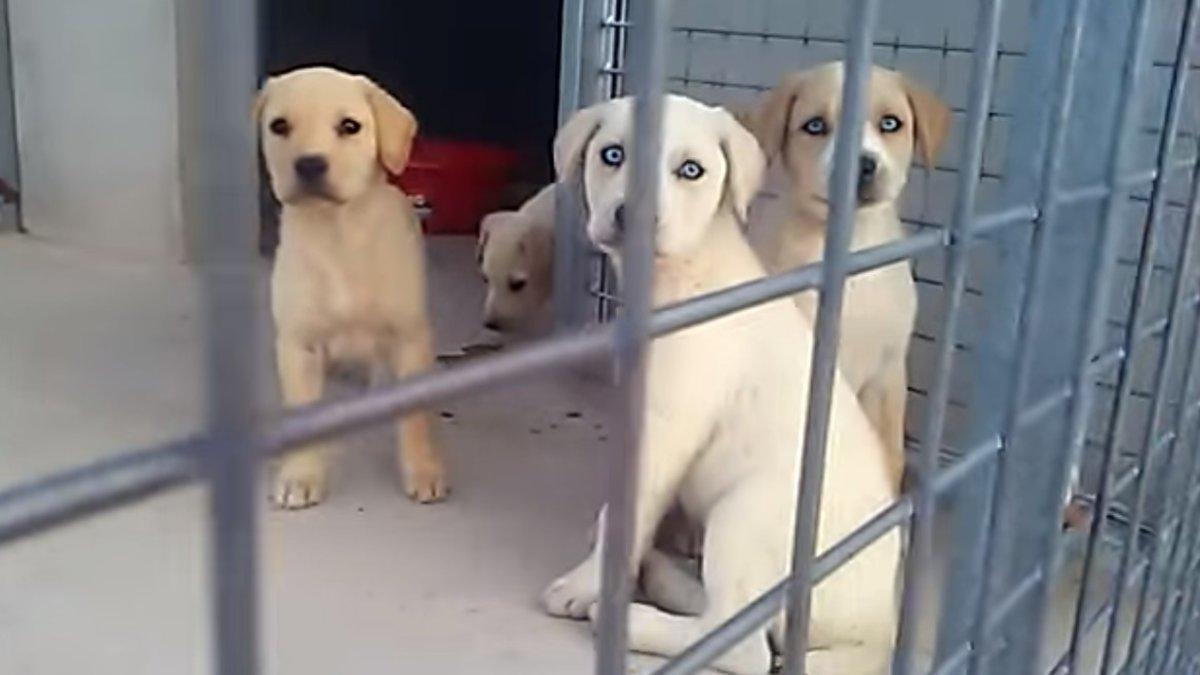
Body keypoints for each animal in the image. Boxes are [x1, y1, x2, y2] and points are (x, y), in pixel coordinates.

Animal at [253, 66, 446, 504]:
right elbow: (303, 415)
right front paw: (300, 476)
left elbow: (414, 417)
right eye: (279, 126)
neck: (338, 232)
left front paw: (423, 469)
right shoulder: (299, 345)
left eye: (349, 126)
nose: (309, 164)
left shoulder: (409, 337)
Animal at [544, 94, 902, 672]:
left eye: (692, 170)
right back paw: (666, 579)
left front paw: (583, 585)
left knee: (744, 645)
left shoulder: (667, 429)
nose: (630, 216)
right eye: (612, 155)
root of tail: (876, 635)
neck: (683, 277)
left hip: (745, 514)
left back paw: (633, 620)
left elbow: (623, 515)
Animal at [744, 63, 950, 485]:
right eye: (815, 126)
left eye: (890, 123)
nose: (862, 165)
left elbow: (889, 454)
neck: (852, 250)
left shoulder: (888, 372)